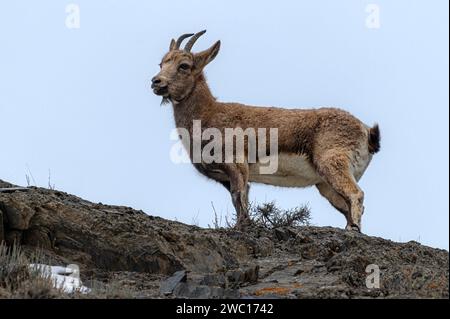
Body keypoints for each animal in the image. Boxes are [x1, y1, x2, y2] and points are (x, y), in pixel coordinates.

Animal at [152, 30, 380, 232]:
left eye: (184, 65)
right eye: (162, 63)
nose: (156, 82)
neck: (210, 114)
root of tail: (366, 130)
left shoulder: (237, 164)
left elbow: (239, 197)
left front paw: (240, 228)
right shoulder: (227, 177)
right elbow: (239, 200)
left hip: (332, 163)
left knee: (356, 194)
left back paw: (353, 229)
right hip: (325, 184)